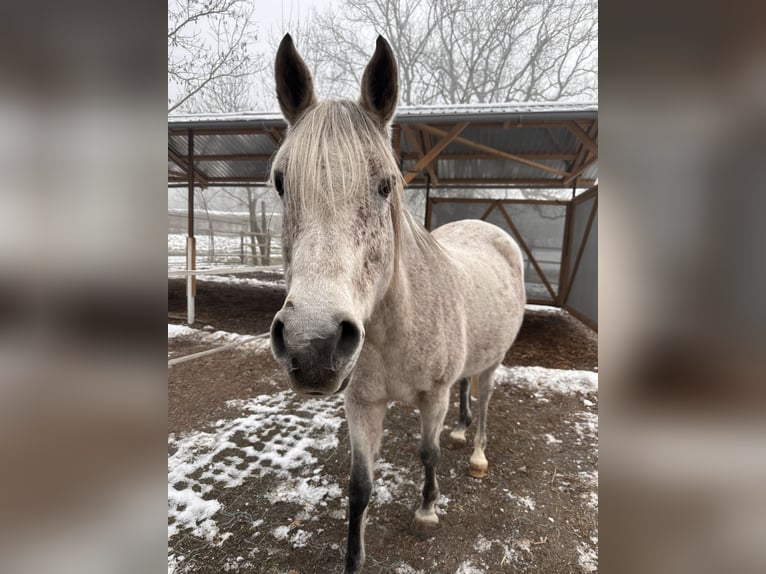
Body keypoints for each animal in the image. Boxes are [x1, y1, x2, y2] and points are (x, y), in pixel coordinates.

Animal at [270, 33, 528, 572]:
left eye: (385, 184)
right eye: (281, 182)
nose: (313, 345)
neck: (394, 332)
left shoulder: (433, 396)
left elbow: (427, 455)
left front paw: (427, 512)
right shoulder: (361, 403)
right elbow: (359, 486)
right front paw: (353, 559)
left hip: (495, 360)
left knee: (485, 398)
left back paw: (476, 451)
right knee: (469, 390)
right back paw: (462, 430)